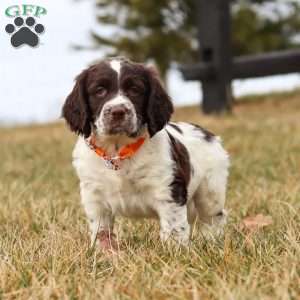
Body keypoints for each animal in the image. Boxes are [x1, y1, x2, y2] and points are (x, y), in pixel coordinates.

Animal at [61, 57, 230, 250]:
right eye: (99, 90)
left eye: (135, 90)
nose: (118, 111)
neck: (118, 150)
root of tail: (209, 134)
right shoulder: (94, 196)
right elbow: (101, 230)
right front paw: (102, 252)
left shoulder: (168, 190)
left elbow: (174, 227)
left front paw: (175, 251)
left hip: (210, 190)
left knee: (213, 217)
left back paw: (210, 241)